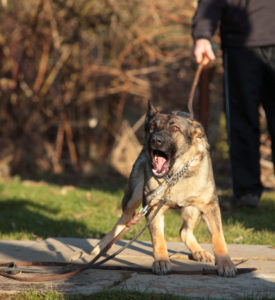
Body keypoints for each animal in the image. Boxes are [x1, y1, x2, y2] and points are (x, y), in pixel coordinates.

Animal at [92, 101, 237, 276]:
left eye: (175, 129)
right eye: (152, 127)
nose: (155, 140)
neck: (175, 175)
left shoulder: (209, 206)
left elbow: (218, 237)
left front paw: (225, 263)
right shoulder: (153, 208)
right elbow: (158, 238)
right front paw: (161, 261)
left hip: (193, 209)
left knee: (184, 231)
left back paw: (199, 252)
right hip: (133, 197)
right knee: (124, 220)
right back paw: (102, 246)